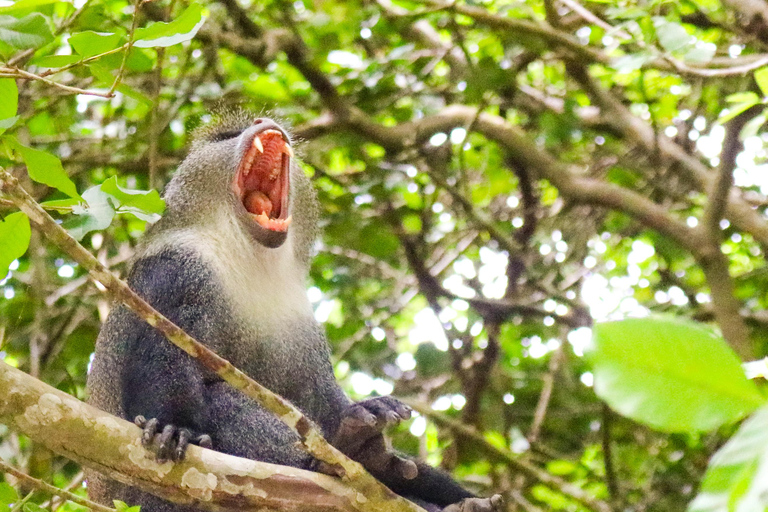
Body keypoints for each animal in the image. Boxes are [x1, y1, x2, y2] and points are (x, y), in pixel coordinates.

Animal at [86, 113, 503, 512]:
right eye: (226, 138)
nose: (261, 124)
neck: (250, 257)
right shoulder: (177, 271)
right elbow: (164, 357)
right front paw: (175, 429)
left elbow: (321, 399)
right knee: (220, 397)